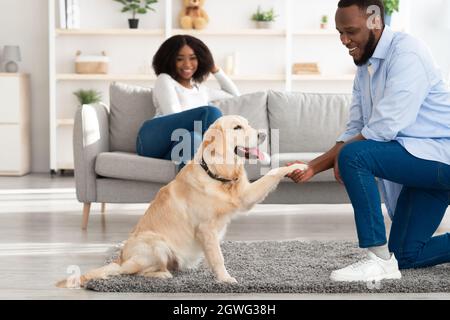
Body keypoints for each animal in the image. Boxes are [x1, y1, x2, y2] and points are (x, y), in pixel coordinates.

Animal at [57, 115, 306, 288]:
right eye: (237, 128)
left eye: (248, 124)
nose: (264, 135)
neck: (215, 173)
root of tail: (121, 258)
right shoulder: (207, 228)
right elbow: (218, 257)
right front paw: (225, 279)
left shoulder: (244, 196)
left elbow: (272, 172)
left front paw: (296, 165)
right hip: (156, 244)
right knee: (135, 272)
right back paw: (162, 273)